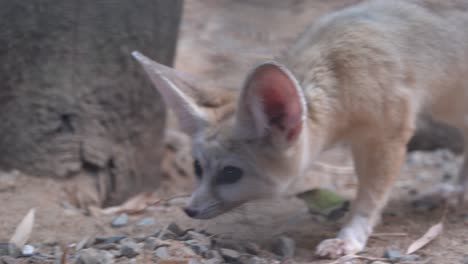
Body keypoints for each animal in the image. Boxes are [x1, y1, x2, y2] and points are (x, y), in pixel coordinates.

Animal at [132, 0, 468, 258]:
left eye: (230, 174)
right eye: (197, 168)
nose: (189, 210)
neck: (338, 73)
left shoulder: (387, 137)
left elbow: (370, 197)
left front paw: (349, 236)